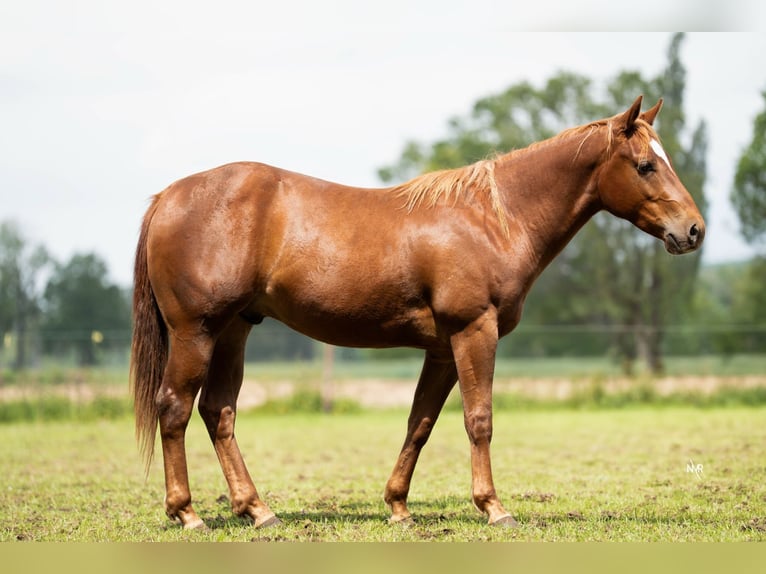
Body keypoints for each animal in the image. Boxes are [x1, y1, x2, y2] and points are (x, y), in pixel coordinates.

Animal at [130, 96, 705, 530]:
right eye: (646, 165)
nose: (694, 230)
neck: (492, 219)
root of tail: (168, 197)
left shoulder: (442, 349)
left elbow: (420, 423)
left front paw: (398, 507)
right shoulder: (474, 332)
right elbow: (479, 420)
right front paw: (494, 508)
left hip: (234, 330)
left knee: (218, 412)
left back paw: (258, 510)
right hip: (197, 331)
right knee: (175, 408)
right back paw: (188, 513)